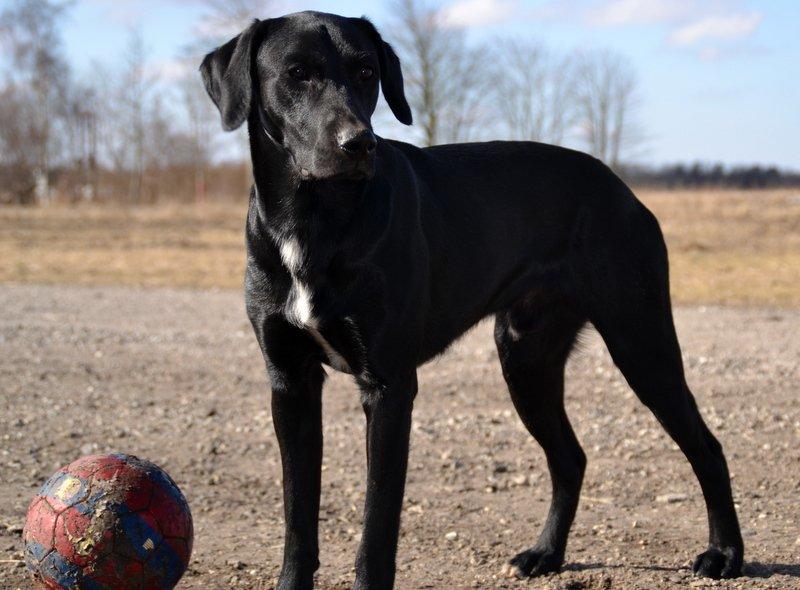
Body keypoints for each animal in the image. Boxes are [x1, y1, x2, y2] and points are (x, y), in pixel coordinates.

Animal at [202, 10, 744, 590]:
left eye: (367, 71)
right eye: (297, 73)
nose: (359, 144)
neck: (315, 221)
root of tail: (620, 188)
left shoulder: (389, 386)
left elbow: (377, 526)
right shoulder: (290, 382)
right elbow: (298, 518)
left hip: (642, 343)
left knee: (707, 447)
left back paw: (724, 554)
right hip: (526, 359)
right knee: (570, 459)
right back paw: (545, 553)